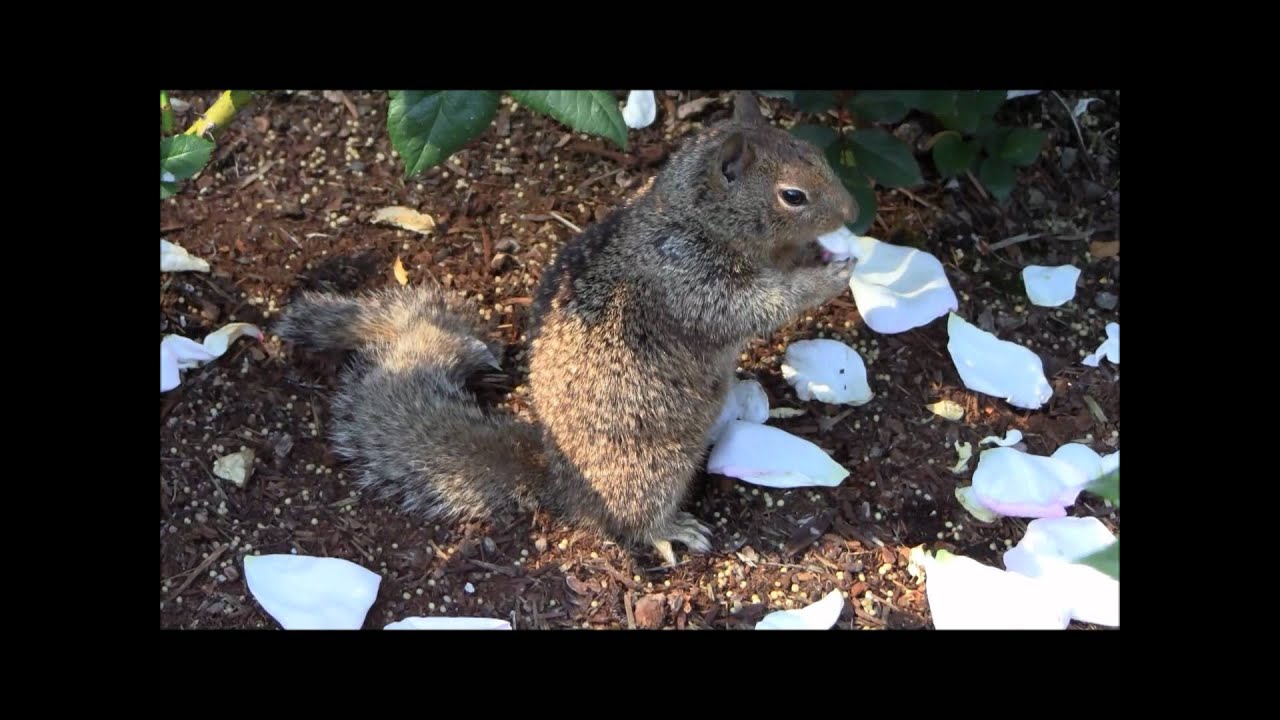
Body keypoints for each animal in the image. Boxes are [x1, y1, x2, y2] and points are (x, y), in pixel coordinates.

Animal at [274, 91, 858, 566]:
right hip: (650, 469)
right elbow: (753, 308)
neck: (696, 220)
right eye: (792, 196)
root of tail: (561, 481)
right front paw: (828, 276)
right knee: (630, 521)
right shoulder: (687, 281)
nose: (853, 212)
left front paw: (821, 254)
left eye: (818, 155)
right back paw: (670, 530)